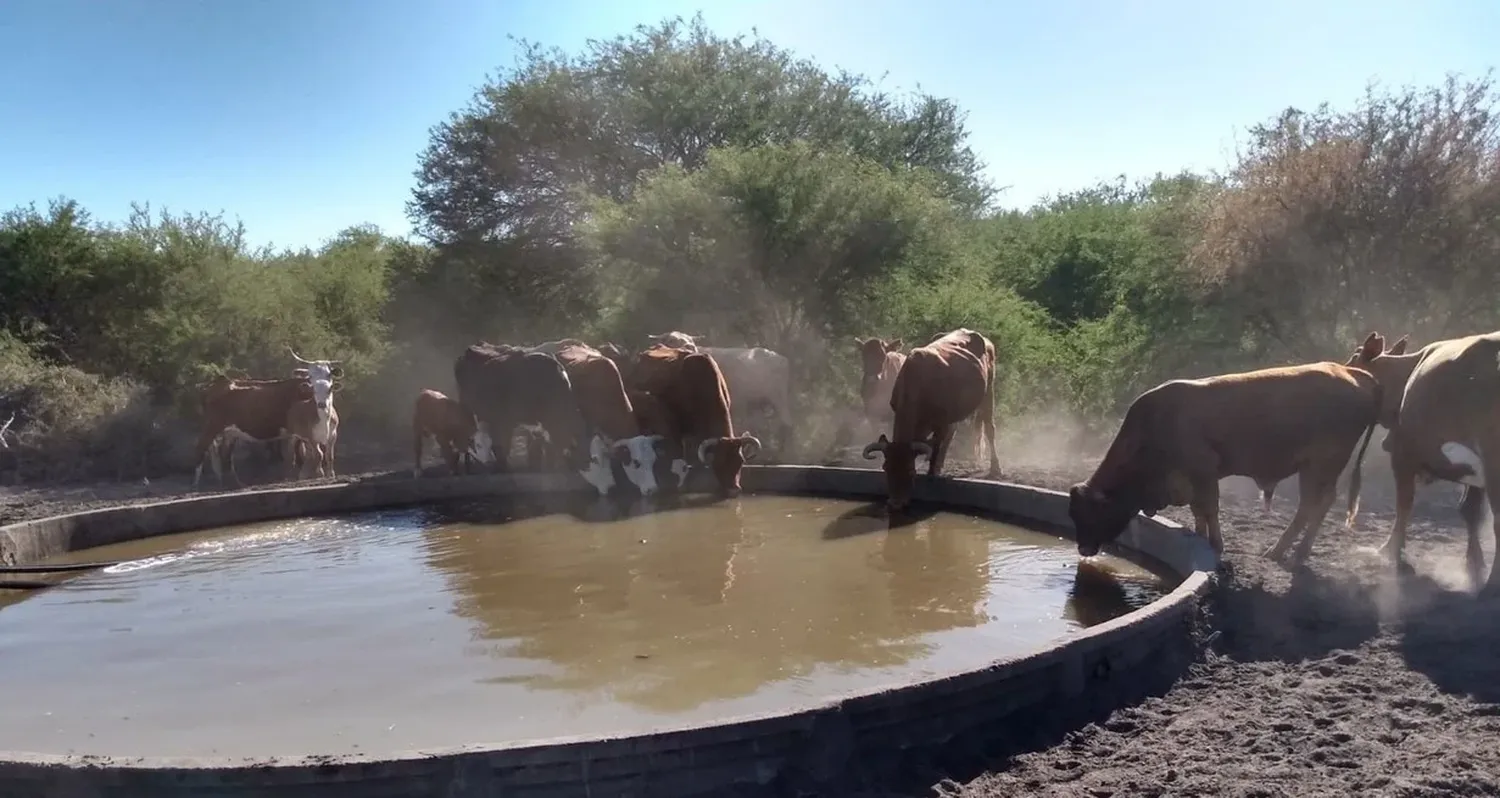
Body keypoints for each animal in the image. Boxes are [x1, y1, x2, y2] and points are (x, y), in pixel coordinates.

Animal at [864, 328, 1002, 510]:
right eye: (886, 467)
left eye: (911, 470)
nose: (896, 503)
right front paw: (935, 467)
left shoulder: (941, 422)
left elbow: (936, 445)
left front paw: (932, 472)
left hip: (989, 392)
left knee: (989, 428)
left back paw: (995, 468)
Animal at [1068, 361, 1380, 561]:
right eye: (1074, 514)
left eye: (1091, 513)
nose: (1083, 549)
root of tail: (1347, 371)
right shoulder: (1190, 480)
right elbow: (1198, 512)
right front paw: (1198, 536)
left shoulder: (1204, 471)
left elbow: (1209, 509)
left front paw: (1216, 545)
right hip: (1323, 469)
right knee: (1322, 503)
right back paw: (1301, 550)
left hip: (1319, 466)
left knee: (1310, 505)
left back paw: (1280, 550)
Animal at [1344, 330, 1500, 591]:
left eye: (1352, 362)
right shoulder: (1472, 471)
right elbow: (1470, 511)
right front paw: (1473, 566)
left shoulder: (1404, 454)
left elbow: (1404, 504)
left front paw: (1390, 551)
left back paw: (1493, 583)